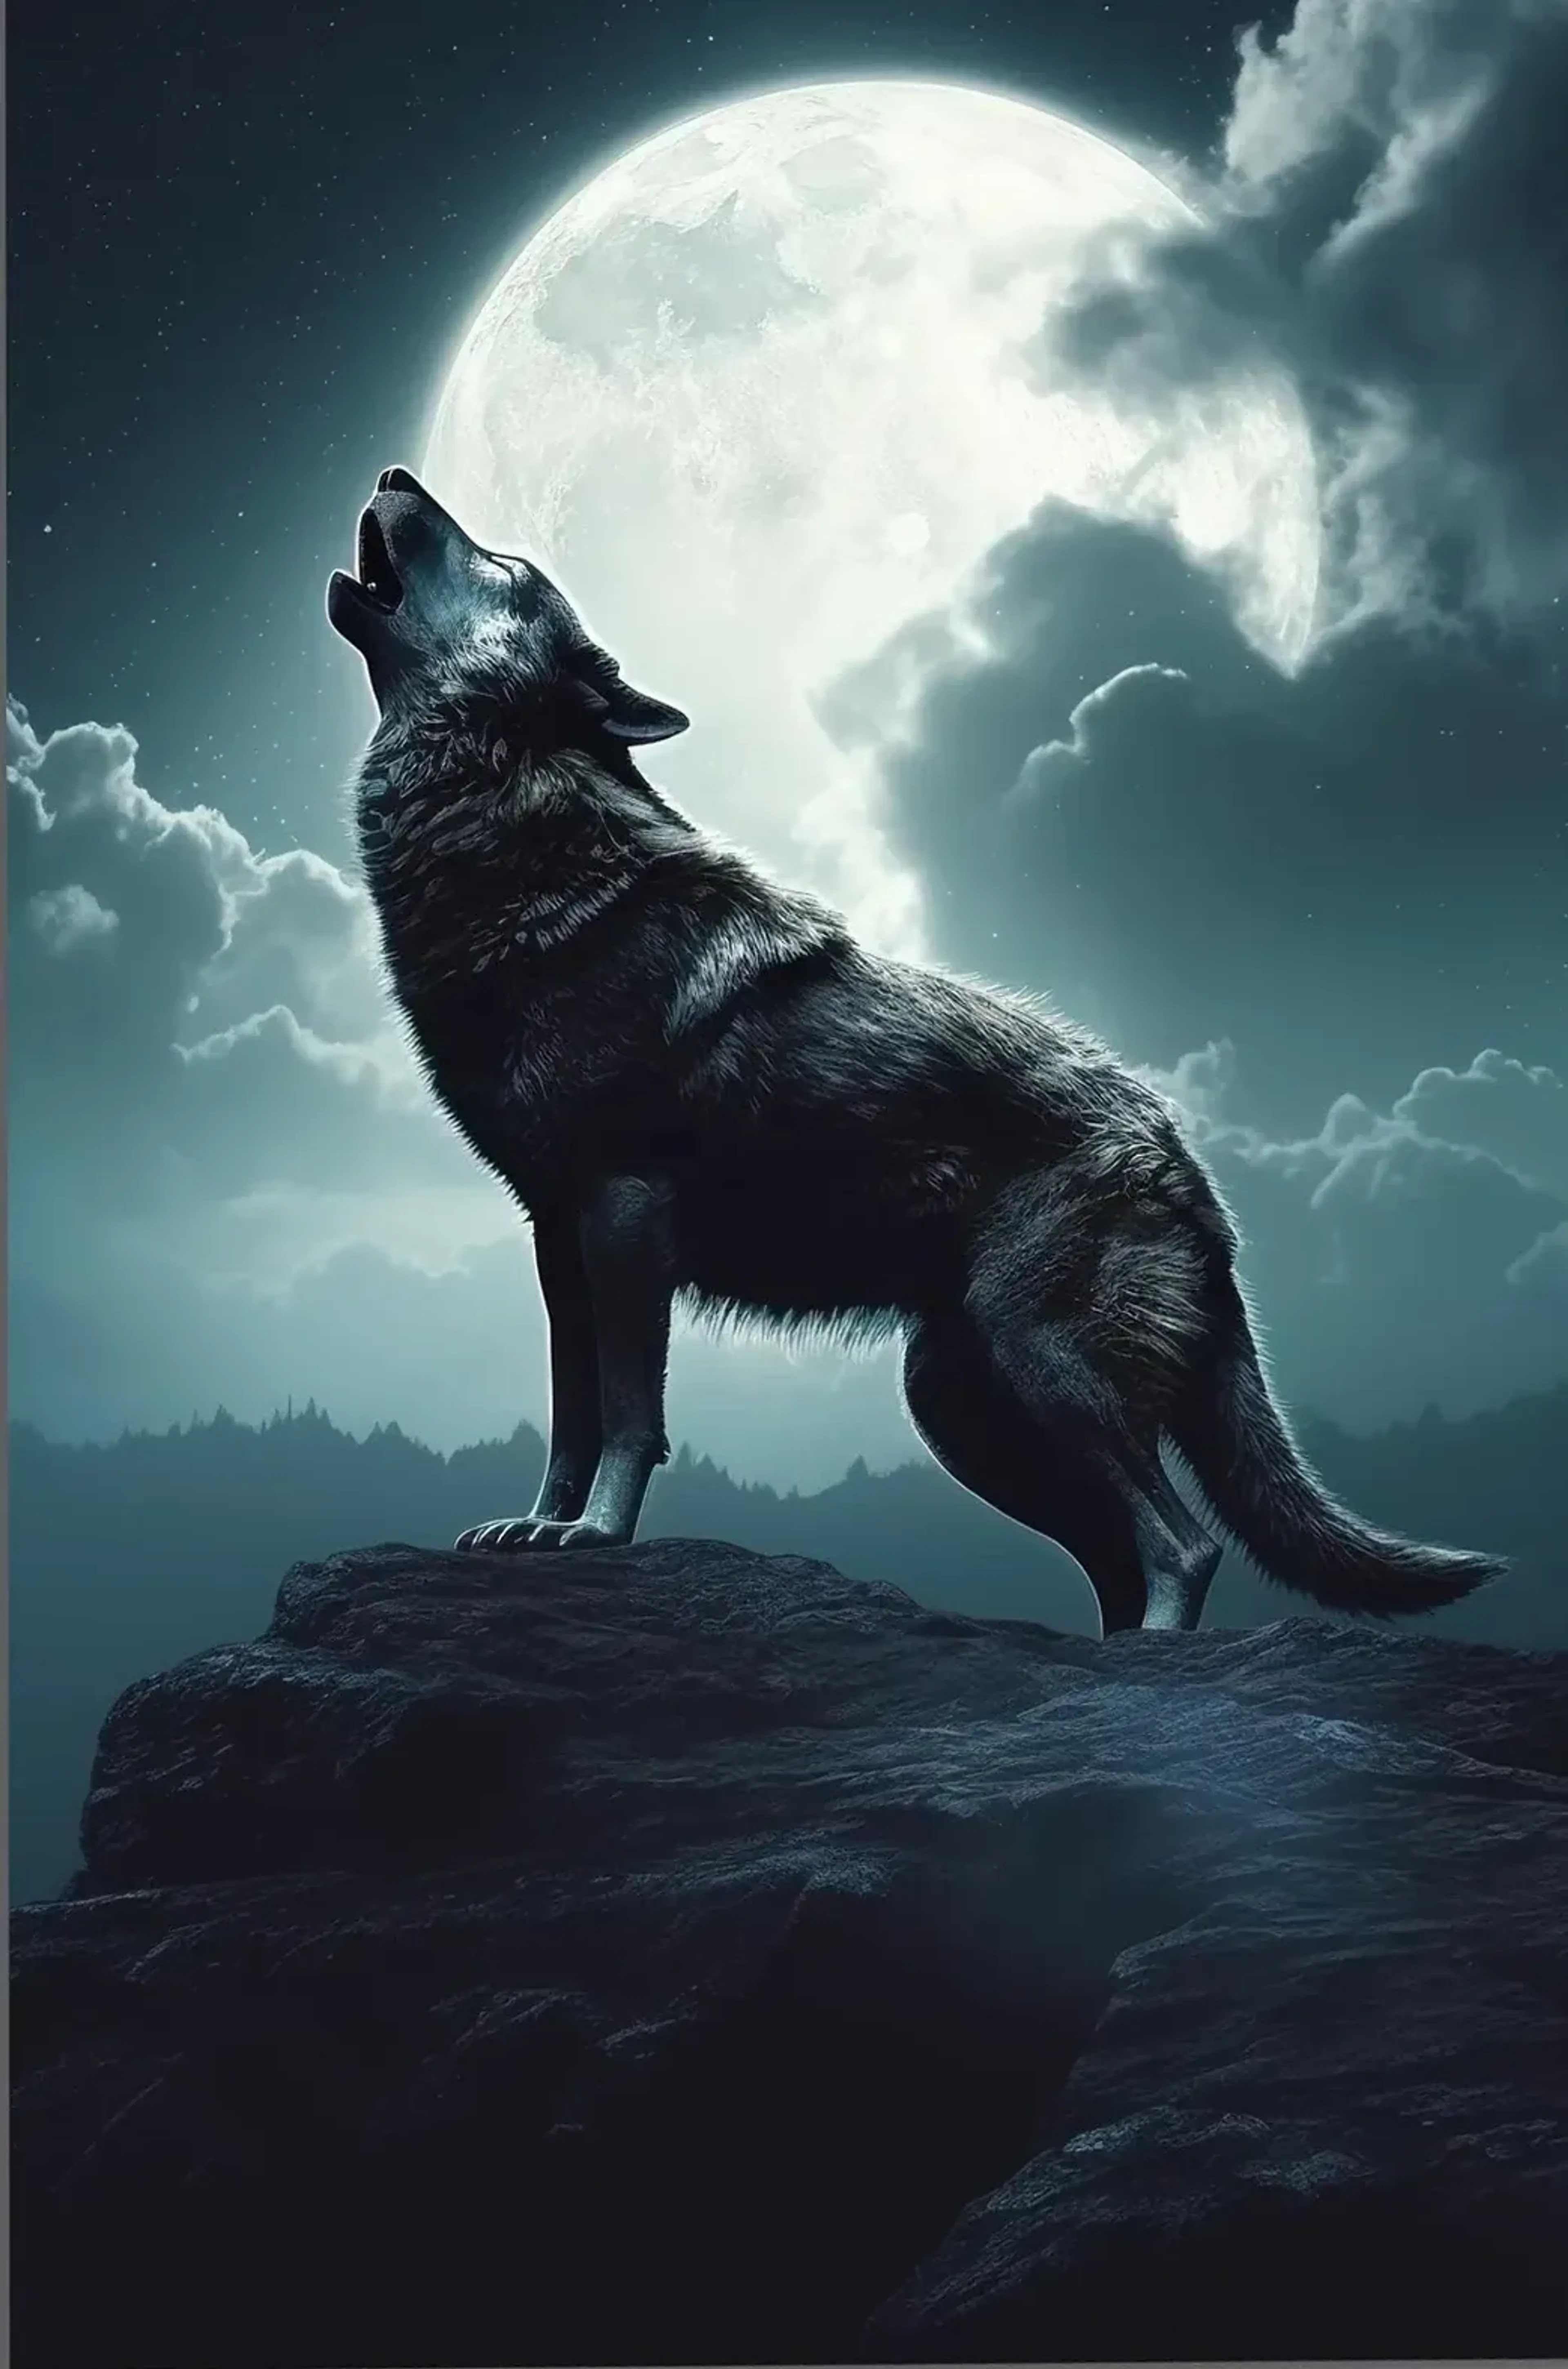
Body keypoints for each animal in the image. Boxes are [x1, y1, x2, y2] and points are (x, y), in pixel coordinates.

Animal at [328, 467, 1502, 1636]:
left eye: (504, 564)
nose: (393, 474)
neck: (521, 857)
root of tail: (1192, 1174)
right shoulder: (553, 1231)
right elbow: (569, 1415)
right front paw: (537, 1528)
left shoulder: (623, 1213)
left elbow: (626, 1413)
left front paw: (598, 1537)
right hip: (963, 1408)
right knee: (1122, 1562)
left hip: (1044, 1372)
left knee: (1186, 1547)